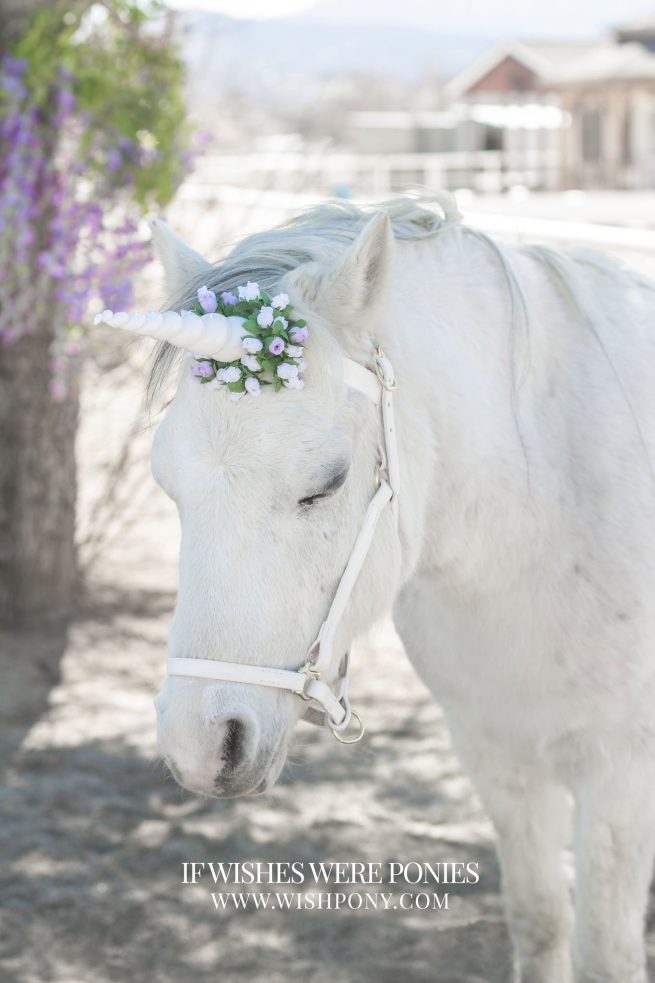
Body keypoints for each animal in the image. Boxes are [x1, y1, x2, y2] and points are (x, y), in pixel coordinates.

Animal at [98, 193, 655, 983]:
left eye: (326, 483)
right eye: (165, 482)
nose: (203, 746)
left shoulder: (620, 779)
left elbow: (603, 953)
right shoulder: (499, 759)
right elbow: (540, 922)